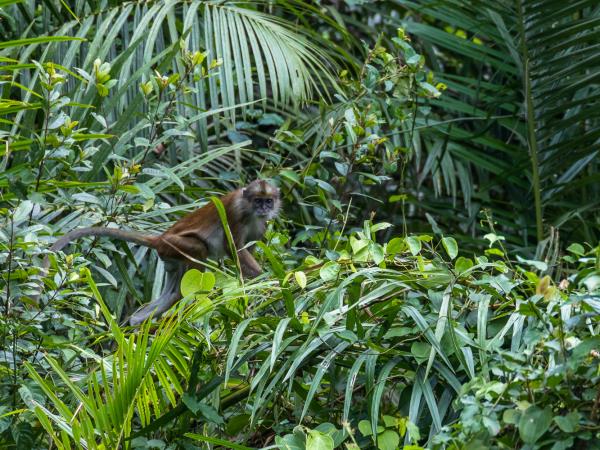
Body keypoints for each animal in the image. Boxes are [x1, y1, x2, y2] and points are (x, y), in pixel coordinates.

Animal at [39, 180, 282, 326]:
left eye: (268, 201)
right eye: (257, 200)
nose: (264, 208)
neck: (251, 212)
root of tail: (159, 238)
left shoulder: (261, 225)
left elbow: (247, 250)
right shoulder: (235, 210)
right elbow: (235, 250)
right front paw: (267, 280)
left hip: (170, 258)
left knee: (173, 293)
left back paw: (136, 323)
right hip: (174, 245)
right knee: (199, 251)